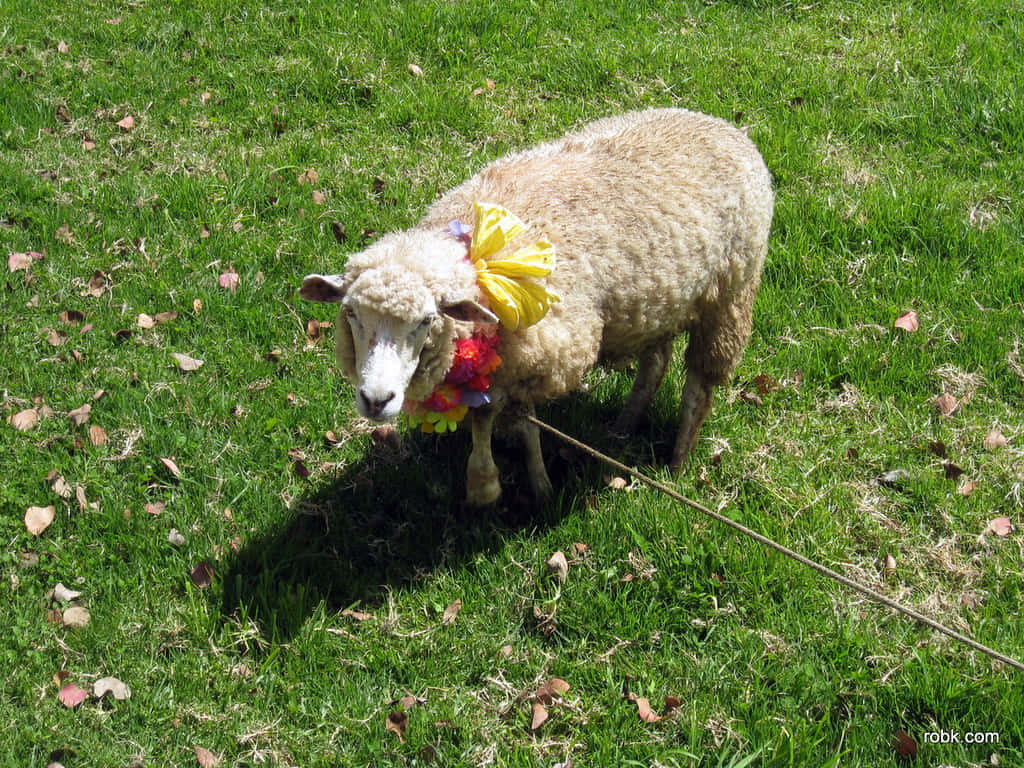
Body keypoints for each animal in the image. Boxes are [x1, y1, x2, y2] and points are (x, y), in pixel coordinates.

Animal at [300, 108, 773, 505]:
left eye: (426, 320)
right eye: (351, 315)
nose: (376, 400)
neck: (480, 266)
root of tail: (724, 127)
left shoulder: (540, 353)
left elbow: (503, 418)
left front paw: (510, 485)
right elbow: (507, 418)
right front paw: (502, 478)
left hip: (730, 293)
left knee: (699, 385)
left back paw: (677, 459)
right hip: (657, 300)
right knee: (655, 363)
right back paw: (623, 426)